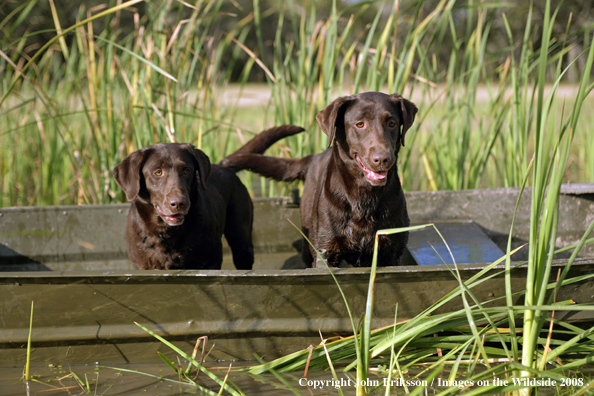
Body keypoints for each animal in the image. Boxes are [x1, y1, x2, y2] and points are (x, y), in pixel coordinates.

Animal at [113, 144, 254, 270]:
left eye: (186, 170)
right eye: (158, 172)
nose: (179, 203)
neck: (166, 232)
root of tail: (223, 166)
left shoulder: (210, 262)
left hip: (242, 243)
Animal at [220, 91, 418, 268]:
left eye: (392, 123)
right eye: (360, 124)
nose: (383, 158)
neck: (364, 198)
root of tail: (313, 157)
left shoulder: (391, 254)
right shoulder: (326, 251)